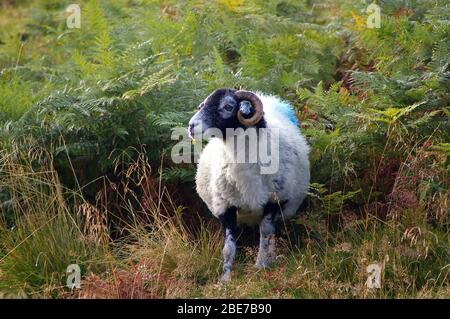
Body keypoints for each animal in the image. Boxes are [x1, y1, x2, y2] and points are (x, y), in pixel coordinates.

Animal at [187, 88, 310, 282]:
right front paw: (225, 278)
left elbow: (265, 234)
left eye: (228, 106)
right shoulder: (225, 206)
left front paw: (261, 265)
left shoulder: (275, 201)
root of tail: (270, 99)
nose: (191, 126)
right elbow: (228, 247)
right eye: (202, 105)